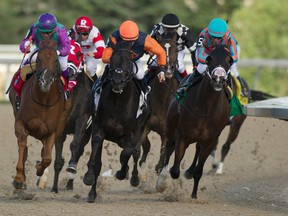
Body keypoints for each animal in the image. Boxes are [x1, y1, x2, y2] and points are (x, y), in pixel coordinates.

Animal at [8, 44, 72, 190]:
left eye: (56, 60)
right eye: (38, 59)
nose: (45, 81)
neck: (44, 100)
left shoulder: (52, 130)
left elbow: (47, 158)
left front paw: (39, 169)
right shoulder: (21, 123)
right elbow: (23, 146)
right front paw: (19, 179)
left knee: (45, 152)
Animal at [82, 40, 151, 202]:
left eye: (128, 60)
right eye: (111, 60)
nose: (117, 82)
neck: (118, 103)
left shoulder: (130, 135)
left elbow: (127, 152)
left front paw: (122, 172)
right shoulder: (99, 128)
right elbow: (96, 162)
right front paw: (89, 180)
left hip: (140, 129)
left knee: (135, 152)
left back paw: (133, 177)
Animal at [138, 33, 179, 173]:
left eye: (176, 49)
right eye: (159, 49)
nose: (168, 68)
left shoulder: (167, 132)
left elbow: (163, 152)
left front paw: (159, 167)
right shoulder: (144, 127)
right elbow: (143, 145)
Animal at [155, 44, 232, 199]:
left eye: (229, 60)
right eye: (209, 58)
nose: (218, 79)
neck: (206, 108)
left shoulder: (210, 141)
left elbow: (198, 170)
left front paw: (194, 195)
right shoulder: (183, 136)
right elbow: (175, 170)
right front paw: (165, 180)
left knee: (196, 149)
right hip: (171, 127)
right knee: (169, 148)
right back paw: (161, 180)